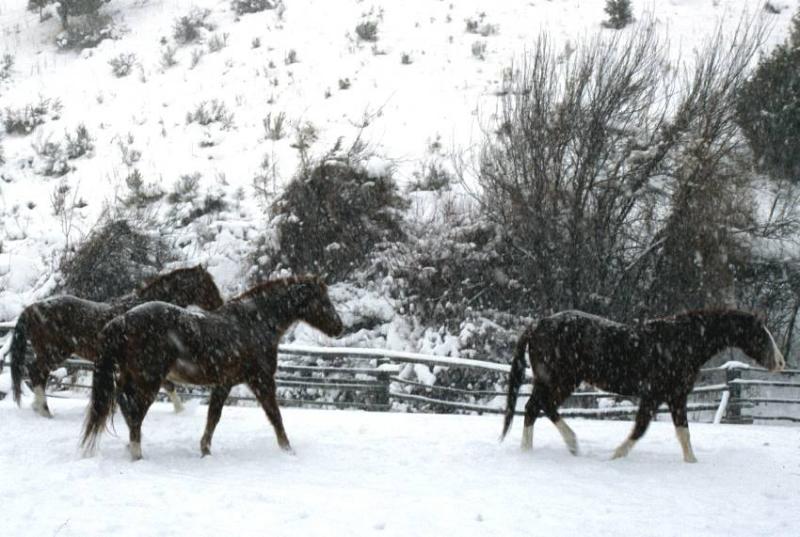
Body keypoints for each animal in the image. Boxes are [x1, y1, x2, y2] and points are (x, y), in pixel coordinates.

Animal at [9, 266, 223, 416]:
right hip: (54, 352)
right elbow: (168, 385)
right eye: (208, 285)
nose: (221, 305)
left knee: (37, 374)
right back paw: (44, 410)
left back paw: (37, 407)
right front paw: (180, 411)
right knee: (36, 372)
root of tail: (32, 308)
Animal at [82, 276, 344, 460]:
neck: (253, 323)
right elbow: (274, 415)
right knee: (135, 412)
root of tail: (122, 320)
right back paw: (137, 453)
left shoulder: (224, 384)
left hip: (131, 377)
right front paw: (288, 450)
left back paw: (130, 445)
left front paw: (205, 450)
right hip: (148, 381)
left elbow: (213, 417)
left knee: (123, 404)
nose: (339, 327)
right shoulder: (261, 380)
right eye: (323, 300)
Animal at [504, 308, 784, 462]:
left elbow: (683, 433)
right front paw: (614, 457)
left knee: (536, 408)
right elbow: (640, 428)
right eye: (761, 334)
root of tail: (538, 324)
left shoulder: (676, 397)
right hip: (559, 380)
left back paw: (542, 449)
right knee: (538, 406)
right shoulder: (653, 395)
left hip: (556, 381)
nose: (780, 363)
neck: (683, 342)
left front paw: (692, 463)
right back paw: (564, 445)